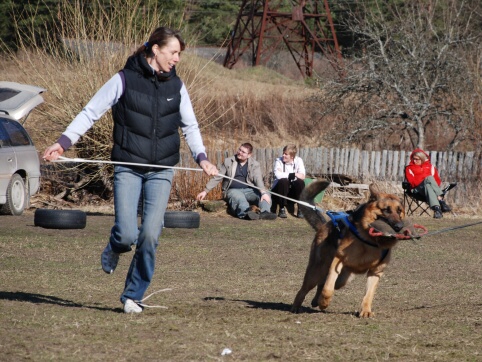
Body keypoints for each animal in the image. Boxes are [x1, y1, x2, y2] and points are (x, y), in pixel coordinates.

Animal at [292, 180, 404, 316]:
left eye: (399, 211)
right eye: (386, 210)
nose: (399, 226)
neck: (370, 241)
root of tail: (324, 224)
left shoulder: (376, 272)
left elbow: (369, 294)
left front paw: (366, 311)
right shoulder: (338, 260)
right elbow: (328, 288)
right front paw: (324, 302)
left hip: (343, 279)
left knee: (323, 283)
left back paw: (315, 300)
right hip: (317, 270)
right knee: (306, 288)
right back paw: (297, 306)